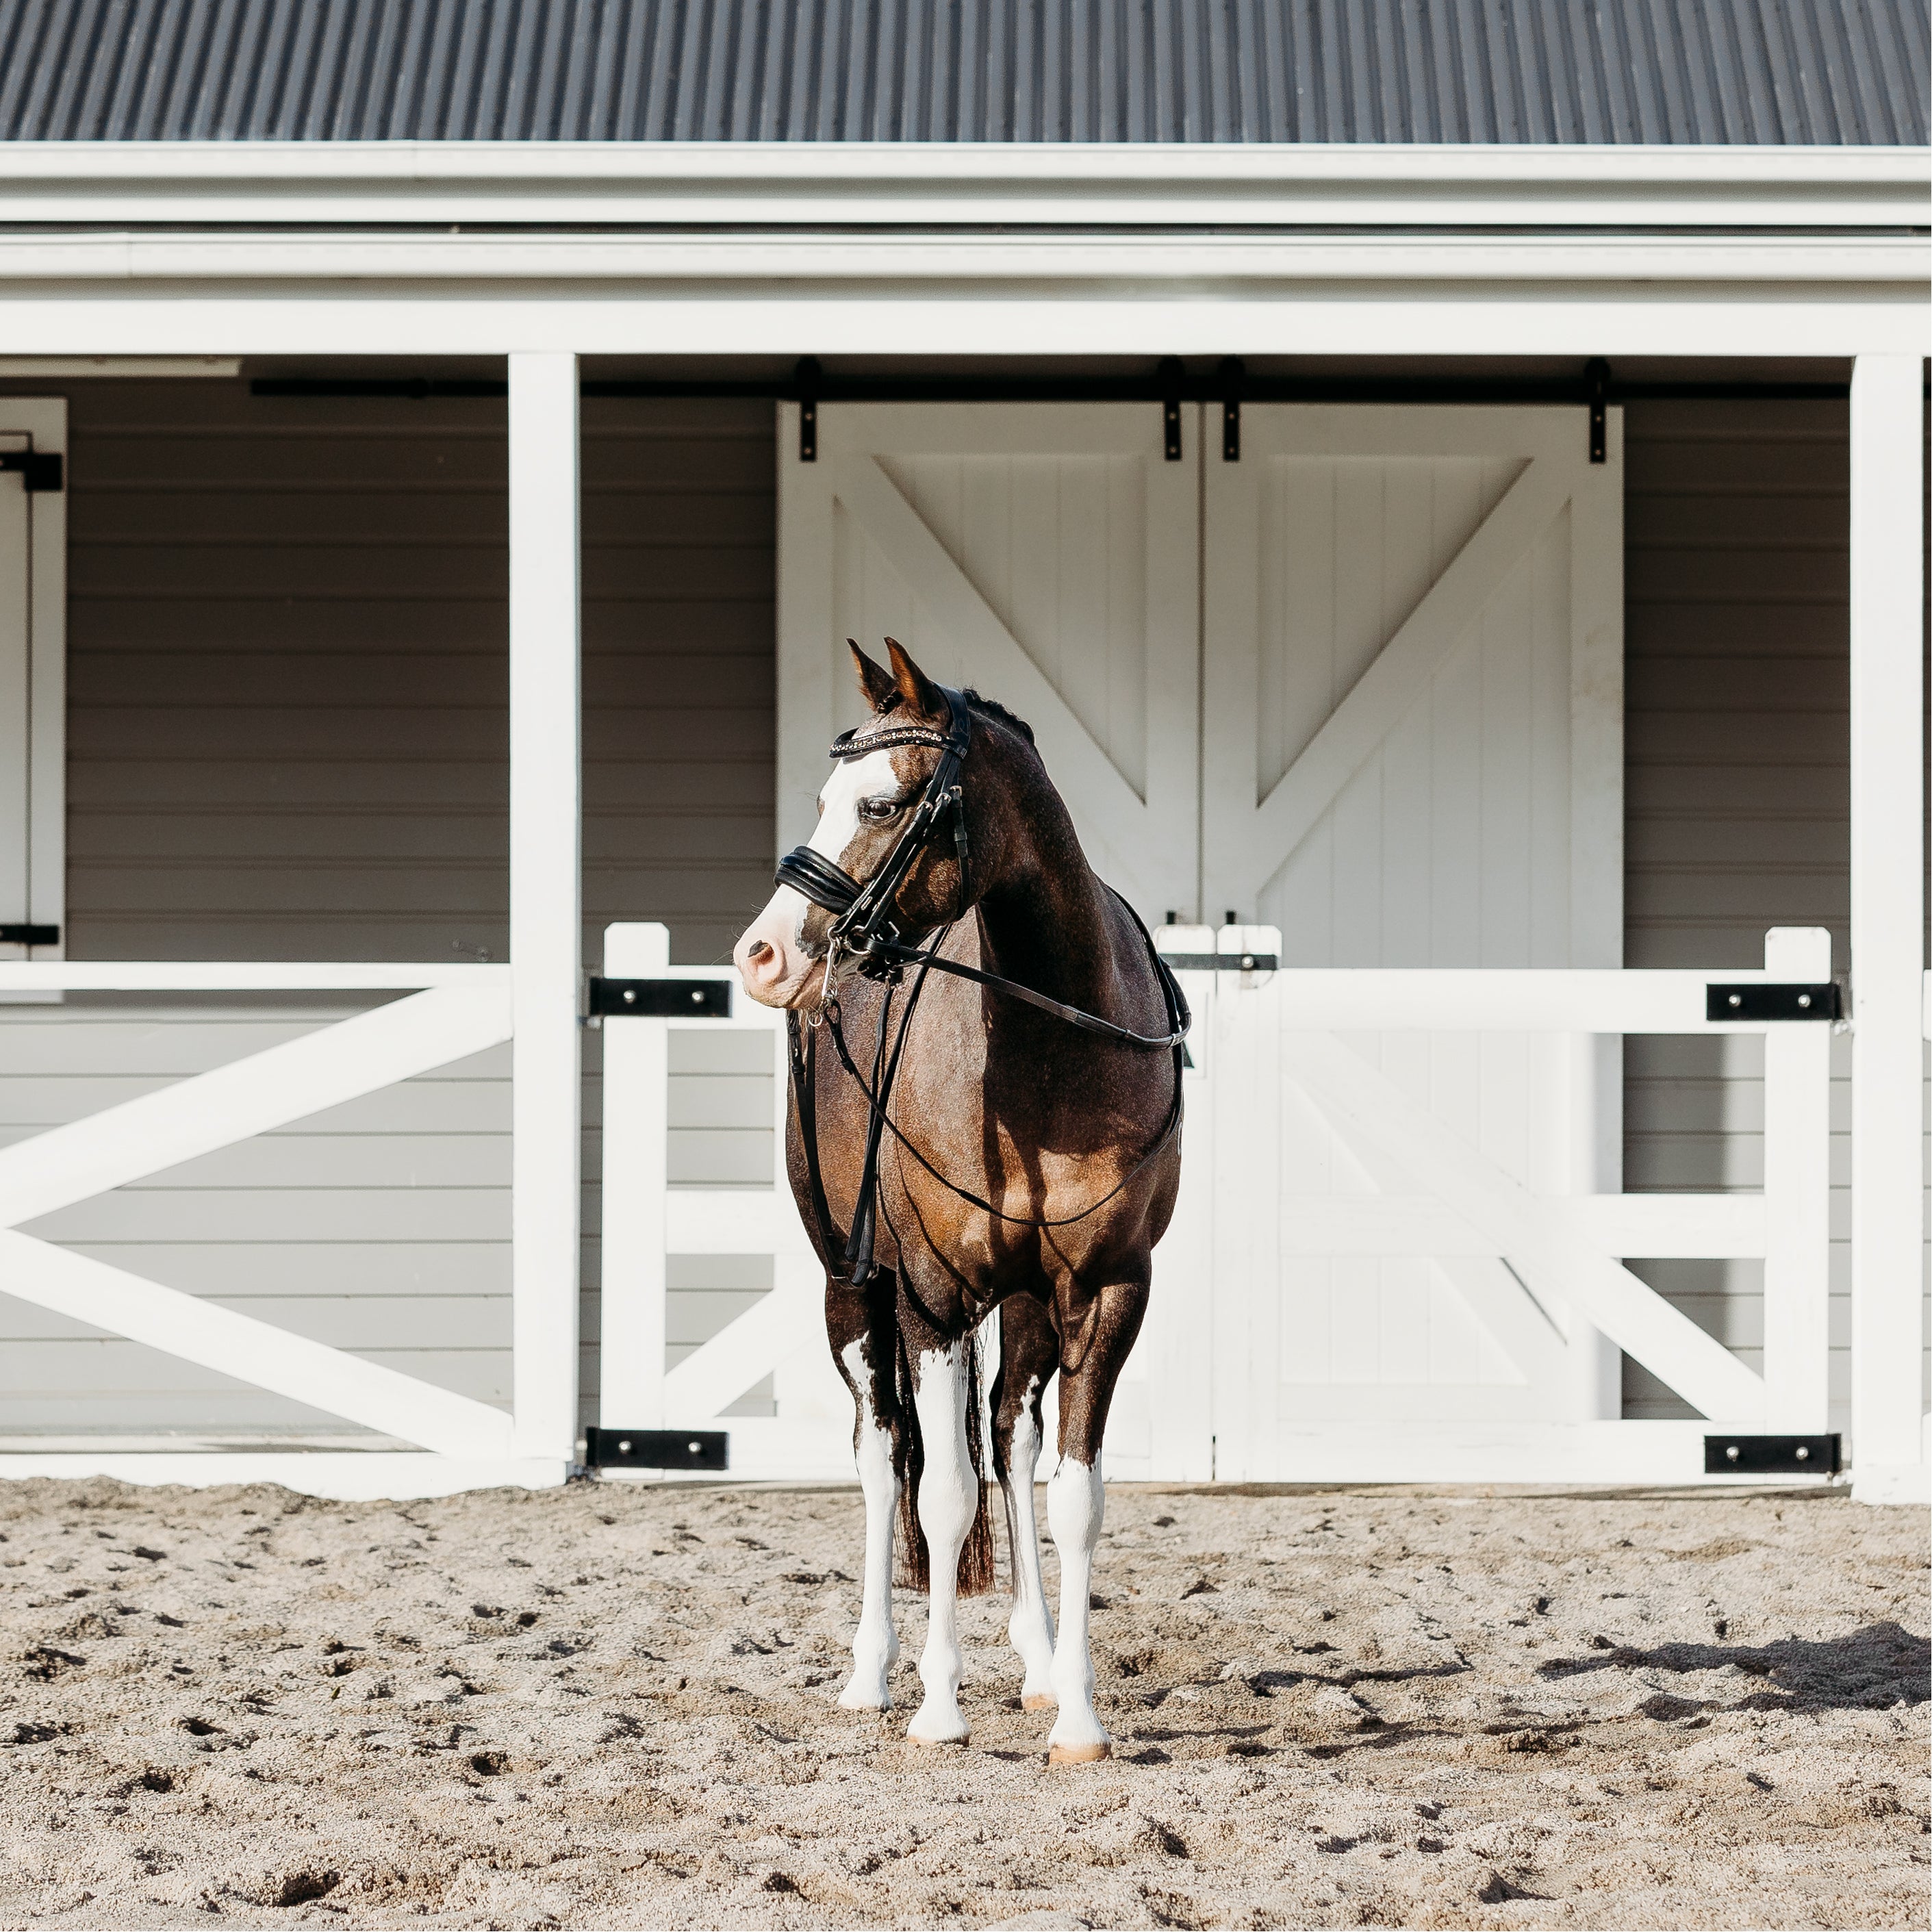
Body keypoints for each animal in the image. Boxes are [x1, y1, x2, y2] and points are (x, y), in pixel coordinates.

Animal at [732, 638, 1186, 1765]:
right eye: (823, 796)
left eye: (884, 802)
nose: (762, 954)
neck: (1055, 1050)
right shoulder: (932, 1296)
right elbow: (937, 1496)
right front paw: (937, 1705)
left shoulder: (1106, 1290)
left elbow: (1072, 1495)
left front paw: (1076, 1712)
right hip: (851, 1289)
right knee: (882, 1454)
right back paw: (869, 1673)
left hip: (1023, 1309)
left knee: (1009, 1436)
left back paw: (1034, 1660)